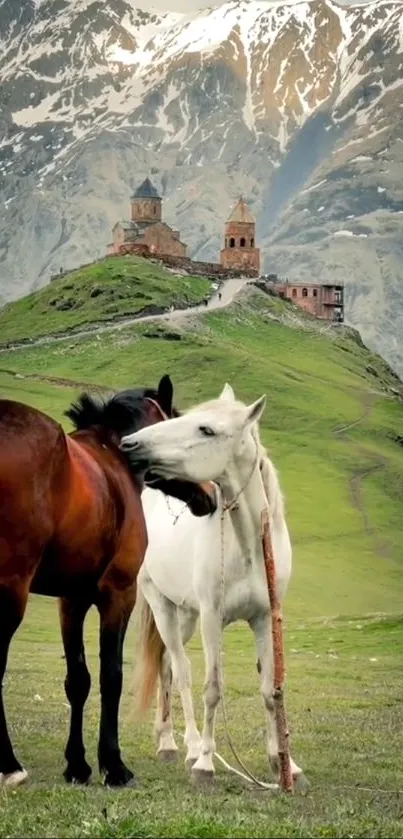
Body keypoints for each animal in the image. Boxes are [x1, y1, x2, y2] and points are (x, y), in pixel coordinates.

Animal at [0, 378, 216, 792]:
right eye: (177, 425)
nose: (211, 492)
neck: (112, 463)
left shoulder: (70, 601)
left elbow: (78, 680)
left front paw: (77, 765)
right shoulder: (119, 594)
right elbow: (111, 676)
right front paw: (113, 765)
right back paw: (9, 765)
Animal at [121, 384, 308, 792]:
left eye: (206, 429)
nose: (129, 444)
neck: (249, 548)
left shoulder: (265, 618)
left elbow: (270, 690)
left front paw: (284, 763)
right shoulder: (212, 617)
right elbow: (212, 688)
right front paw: (205, 763)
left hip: (185, 616)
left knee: (166, 666)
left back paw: (167, 740)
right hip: (164, 608)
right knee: (181, 670)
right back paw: (186, 747)